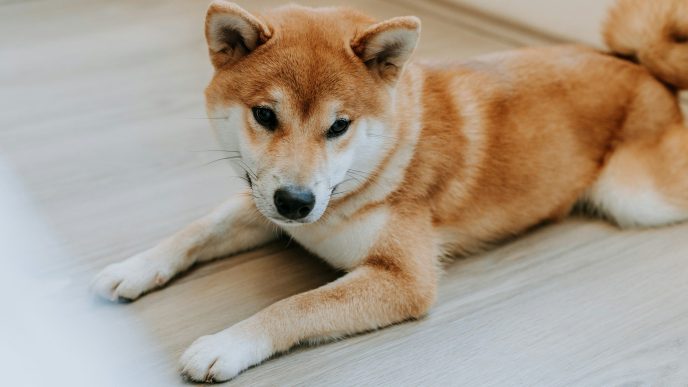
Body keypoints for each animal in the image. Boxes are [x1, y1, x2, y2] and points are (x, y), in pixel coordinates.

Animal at [92, 0, 688, 382]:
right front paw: (134, 268)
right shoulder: (261, 200)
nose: (297, 203)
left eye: (339, 126)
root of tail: (640, 67)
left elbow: (296, 305)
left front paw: (227, 342)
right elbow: (196, 230)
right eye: (264, 115)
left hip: (636, 198)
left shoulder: (403, 280)